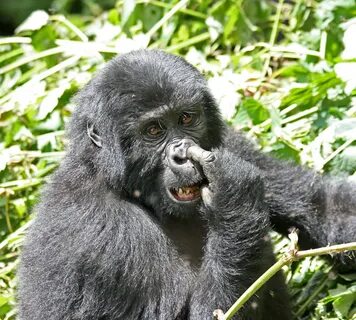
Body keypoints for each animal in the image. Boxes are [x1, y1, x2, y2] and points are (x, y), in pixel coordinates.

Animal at [18, 48, 356, 318]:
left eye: (186, 118)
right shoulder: (99, 232)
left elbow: (327, 208)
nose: (183, 155)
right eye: (153, 130)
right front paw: (233, 199)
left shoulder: (229, 144)